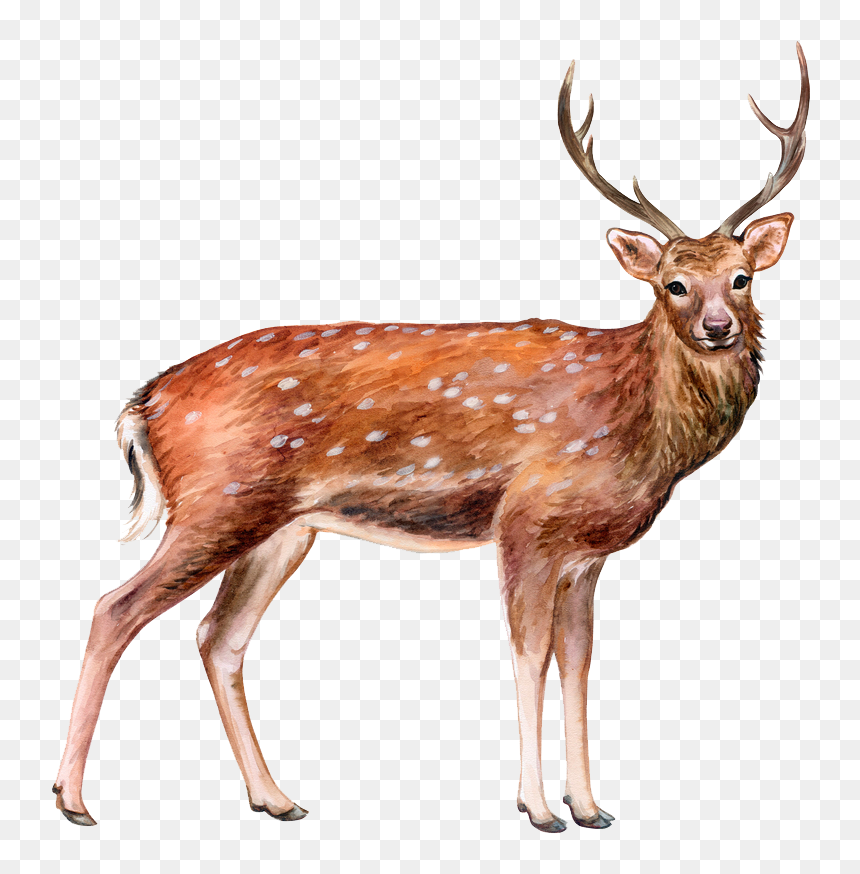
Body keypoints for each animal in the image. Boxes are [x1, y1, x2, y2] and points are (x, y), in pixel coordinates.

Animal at [54, 44, 809, 832]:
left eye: (742, 277)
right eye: (672, 284)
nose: (718, 327)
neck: (638, 427)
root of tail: (146, 402)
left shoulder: (587, 552)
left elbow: (578, 660)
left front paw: (591, 806)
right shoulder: (528, 522)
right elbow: (530, 653)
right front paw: (538, 808)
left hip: (281, 527)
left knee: (218, 637)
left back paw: (276, 798)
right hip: (216, 501)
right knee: (116, 608)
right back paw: (72, 800)